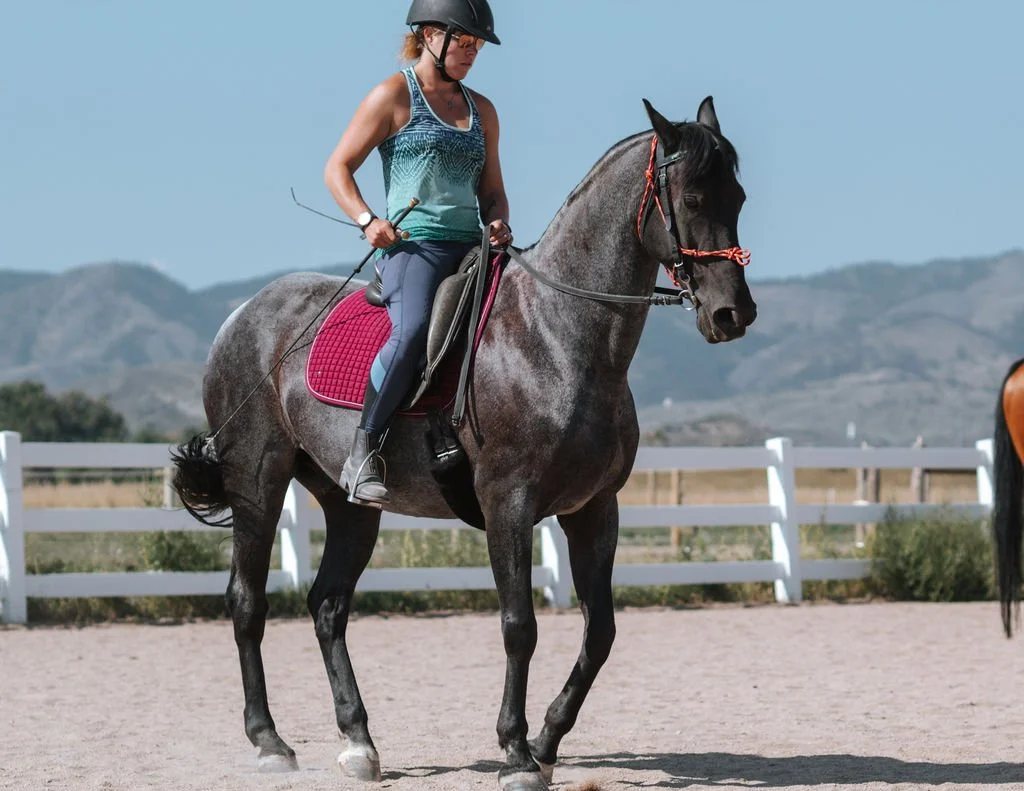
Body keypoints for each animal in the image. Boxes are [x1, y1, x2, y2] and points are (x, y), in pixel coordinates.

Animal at [171, 96, 757, 791]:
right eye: (692, 197)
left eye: (739, 196)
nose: (732, 314)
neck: (556, 334)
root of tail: (242, 314)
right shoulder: (510, 503)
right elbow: (519, 626)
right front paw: (516, 753)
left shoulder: (594, 510)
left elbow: (601, 633)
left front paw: (548, 740)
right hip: (256, 484)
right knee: (247, 603)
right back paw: (269, 741)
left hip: (349, 505)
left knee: (328, 606)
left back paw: (359, 743)